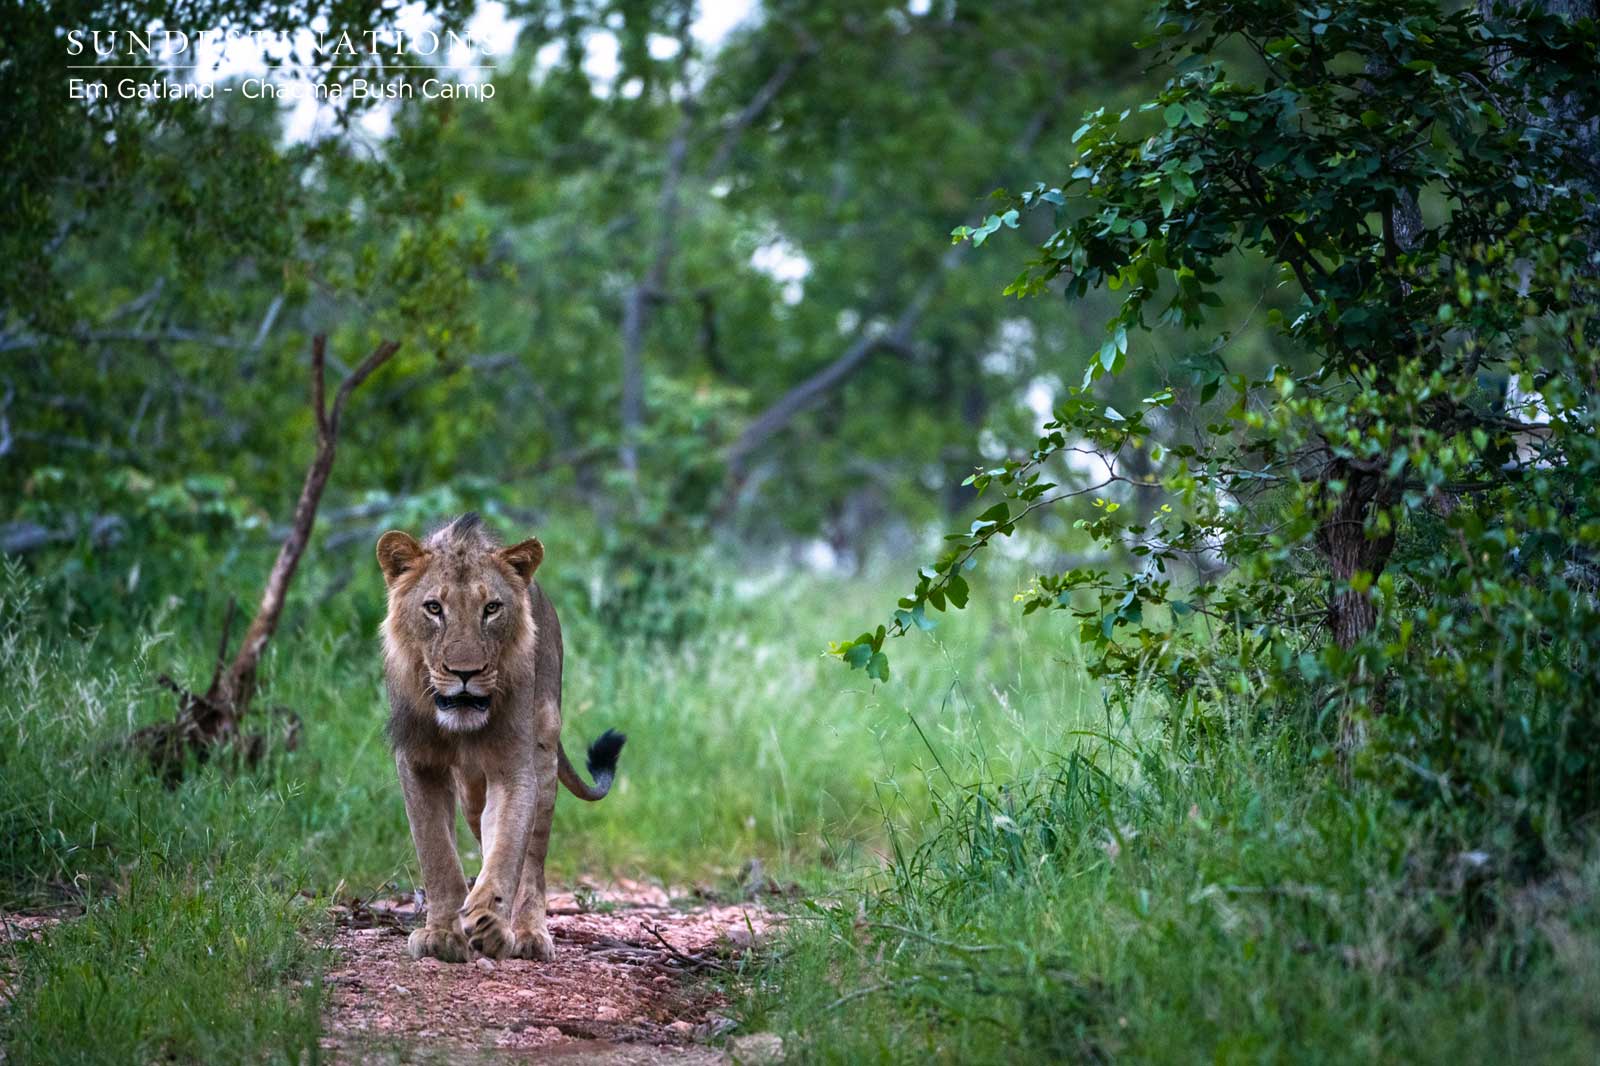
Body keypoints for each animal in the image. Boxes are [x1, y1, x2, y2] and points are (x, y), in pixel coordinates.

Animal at [375, 513, 625, 963]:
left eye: (491, 608)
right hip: (472, 791)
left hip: (544, 748)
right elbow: (436, 853)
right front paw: (442, 935)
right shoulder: (418, 761)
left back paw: (526, 933)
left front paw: (490, 924)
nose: (465, 673)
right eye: (434, 608)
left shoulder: (514, 767)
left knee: (532, 858)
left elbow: (509, 848)